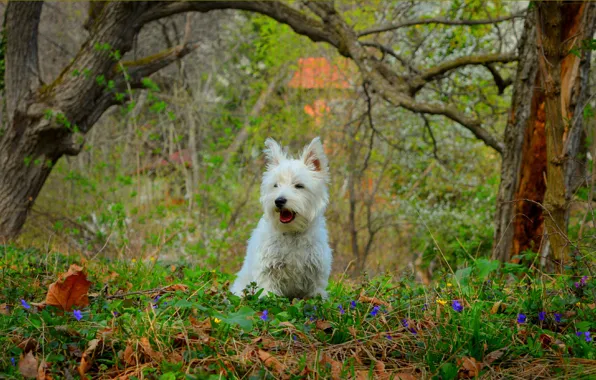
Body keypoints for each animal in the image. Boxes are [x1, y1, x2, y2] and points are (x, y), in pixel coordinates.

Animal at [229, 138, 330, 298]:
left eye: (299, 185)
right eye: (275, 185)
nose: (279, 201)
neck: (291, 233)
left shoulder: (316, 270)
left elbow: (316, 293)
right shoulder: (267, 268)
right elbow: (267, 291)